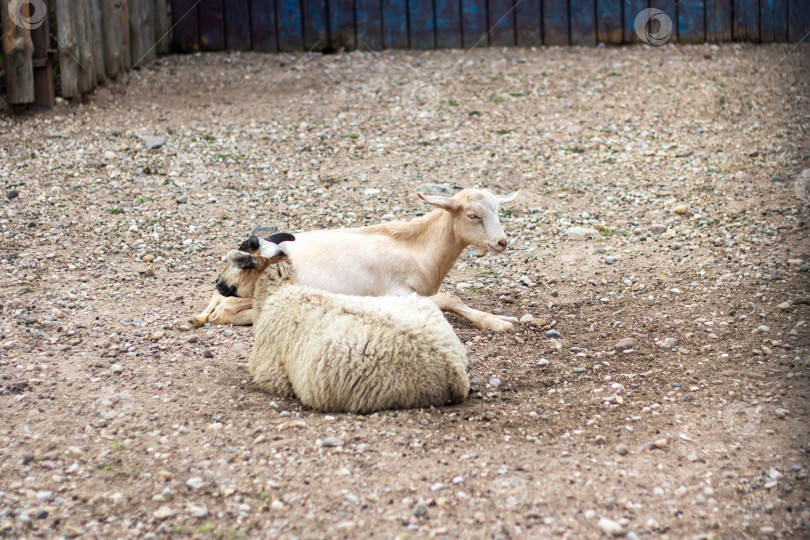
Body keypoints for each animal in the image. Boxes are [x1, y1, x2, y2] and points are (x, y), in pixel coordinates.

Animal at [193, 188, 516, 332]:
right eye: (472, 215)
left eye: (498, 211)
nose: (502, 242)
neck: (416, 250)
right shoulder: (396, 293)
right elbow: (450, 299)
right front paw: (498, 322)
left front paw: (505, 318)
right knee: (223, 313)